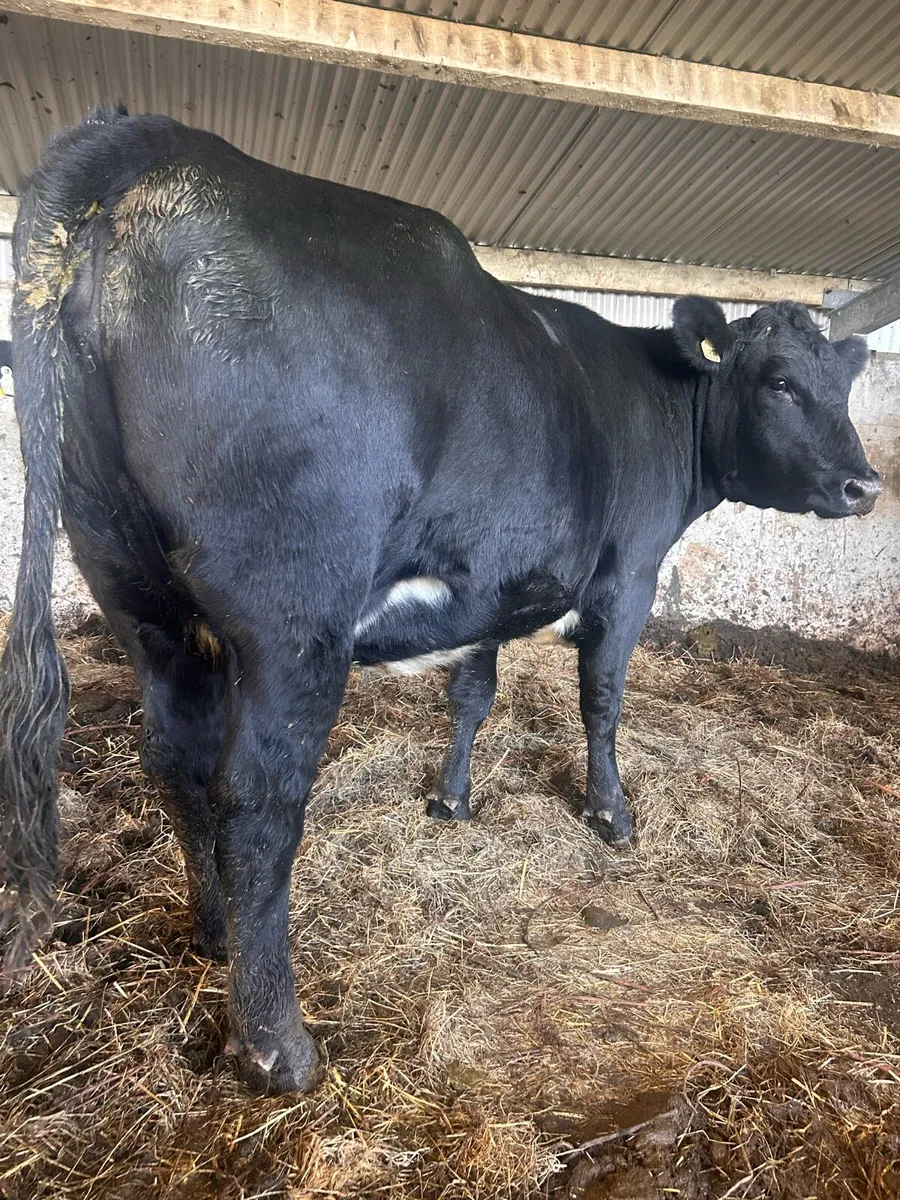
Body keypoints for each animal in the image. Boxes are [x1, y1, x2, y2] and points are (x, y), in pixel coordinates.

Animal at [0, 110, 881, 1095]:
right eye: (779, 382)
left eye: (845, 385)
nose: (863, 485)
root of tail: (169, 150)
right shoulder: (629, 574)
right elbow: (603, 700)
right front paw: (611, 815)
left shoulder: (490, 584)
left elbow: (473, 693)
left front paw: (453, 800)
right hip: (293, 618)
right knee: (257, 799)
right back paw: (277, 1043)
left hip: (137, 591)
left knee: (177, 760)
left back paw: (216, 936)